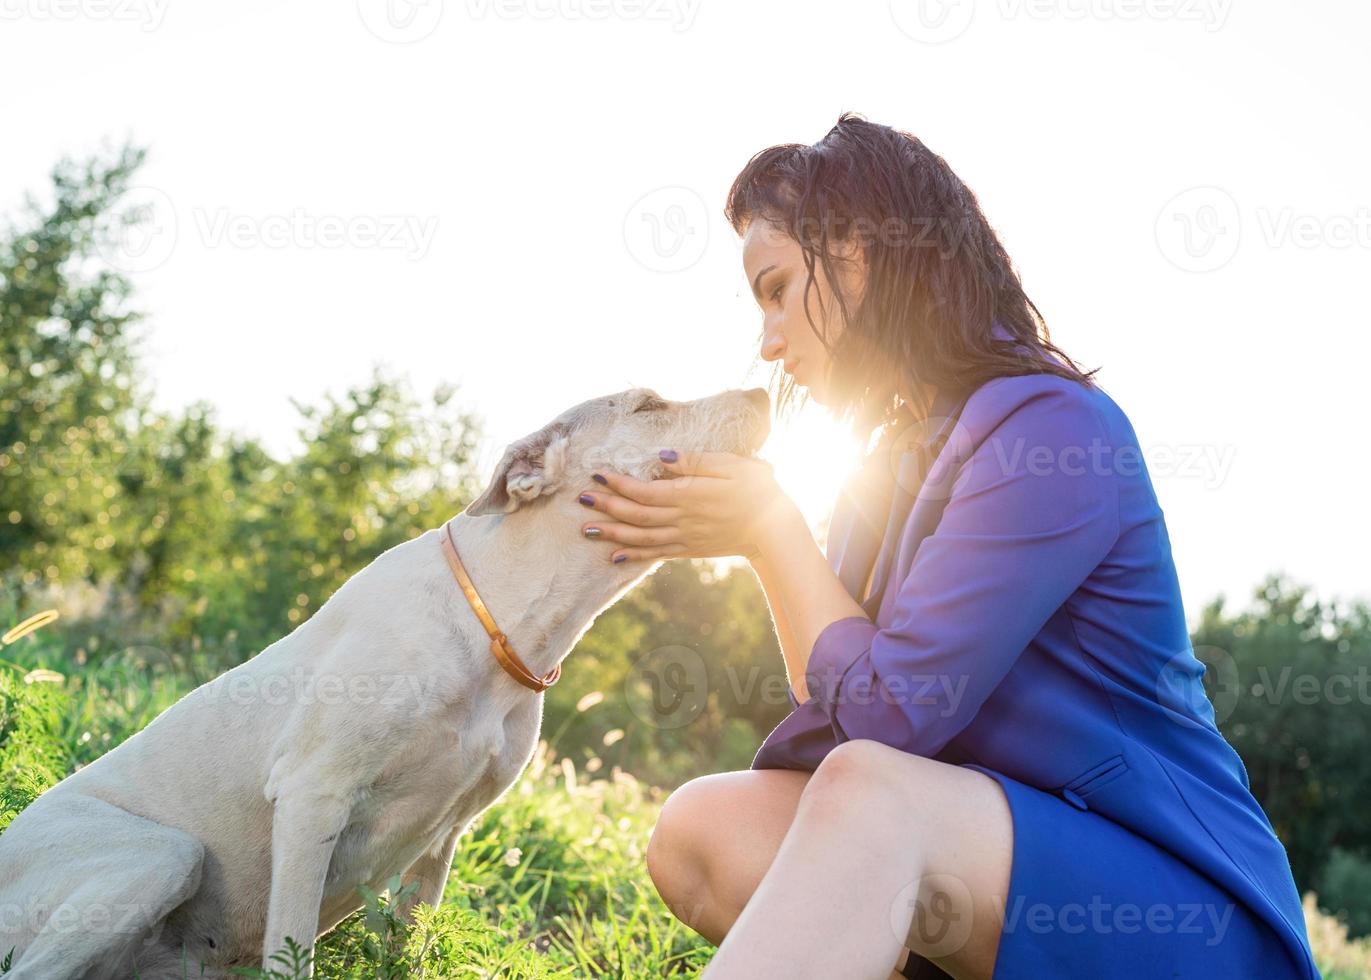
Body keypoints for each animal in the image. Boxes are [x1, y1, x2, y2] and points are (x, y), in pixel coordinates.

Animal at [0, 386, 773, 975]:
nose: (765, 393)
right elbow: (293, 952)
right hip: (162, 853)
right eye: (648, 405)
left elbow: (408, 948)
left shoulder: (443, 840)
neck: (496, 625)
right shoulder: (312, 797)